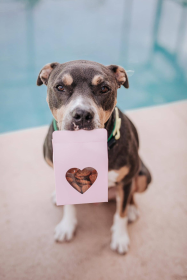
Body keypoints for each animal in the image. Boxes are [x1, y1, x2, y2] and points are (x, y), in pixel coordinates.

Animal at [37, 60, 152, 255]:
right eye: (60, 87)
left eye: (104, 88)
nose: (82, 114)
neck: (84, 144)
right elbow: (69, 205)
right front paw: (67, 226)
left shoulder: (126, 179)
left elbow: (120, 213)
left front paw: (120, 237)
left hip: (143, 175)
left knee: (128, 197)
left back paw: (131, 209)